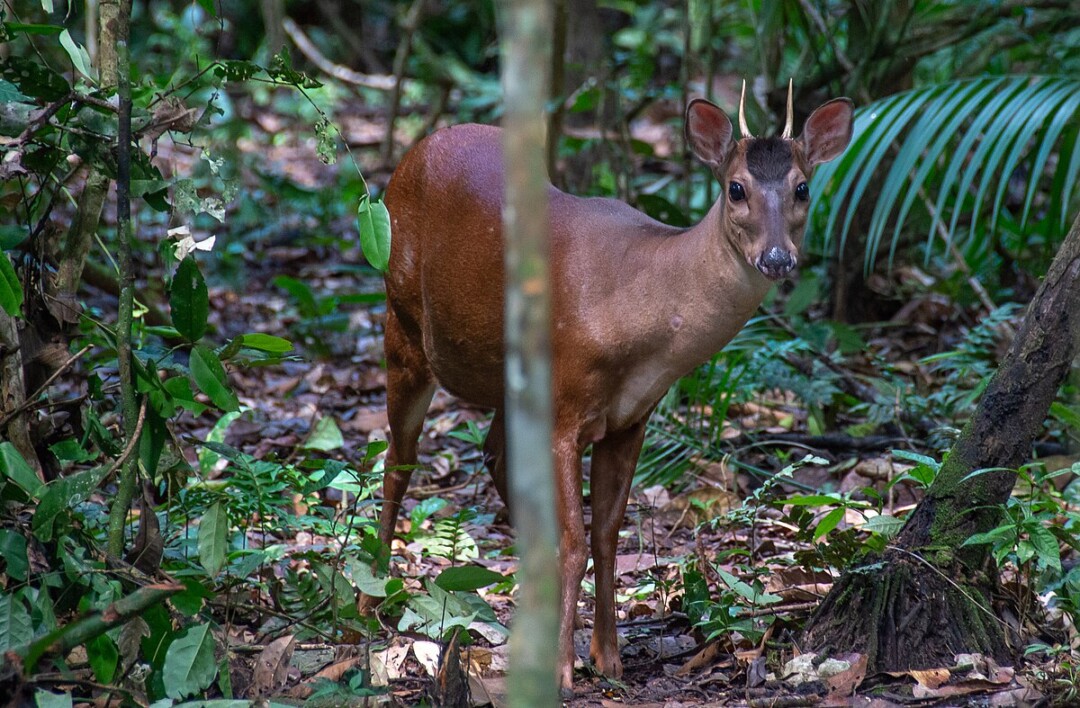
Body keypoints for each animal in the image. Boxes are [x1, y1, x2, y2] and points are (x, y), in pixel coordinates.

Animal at [371, 81, 851, 686]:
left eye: (803, 187)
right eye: (736, 188)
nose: (777, 257)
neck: (636, 318)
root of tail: (413, 154)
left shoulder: (630, 419)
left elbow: (605, 534)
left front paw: (608, 656)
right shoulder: (565, 407)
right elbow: (575, 541)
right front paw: (561, 670)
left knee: (493, 454)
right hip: (403, 322)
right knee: (398, 461)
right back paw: (368, 599)